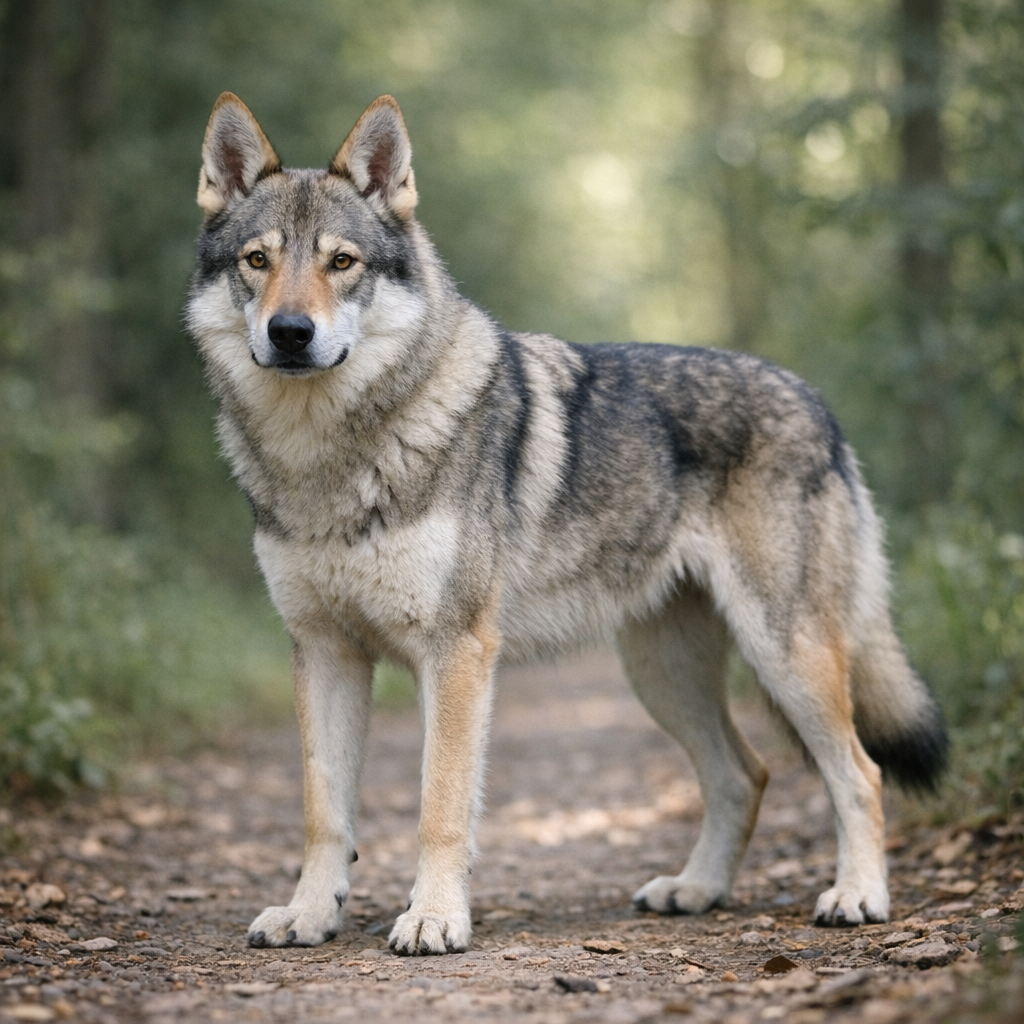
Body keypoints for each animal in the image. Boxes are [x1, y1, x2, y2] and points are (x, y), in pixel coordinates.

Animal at [187, 93, 947, 956]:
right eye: (257, 261)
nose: (290, 333)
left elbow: (439, 808)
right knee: (744, 774)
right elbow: (323, 813)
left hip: (785, 655)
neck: (329, 458)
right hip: (662, 673)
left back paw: (857, 896)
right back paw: (696, 890)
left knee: (860, 772)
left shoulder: (455, 653)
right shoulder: (323, 652)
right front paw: (309, 914)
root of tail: (819, 404)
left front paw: (435, 918)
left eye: (342, 263)